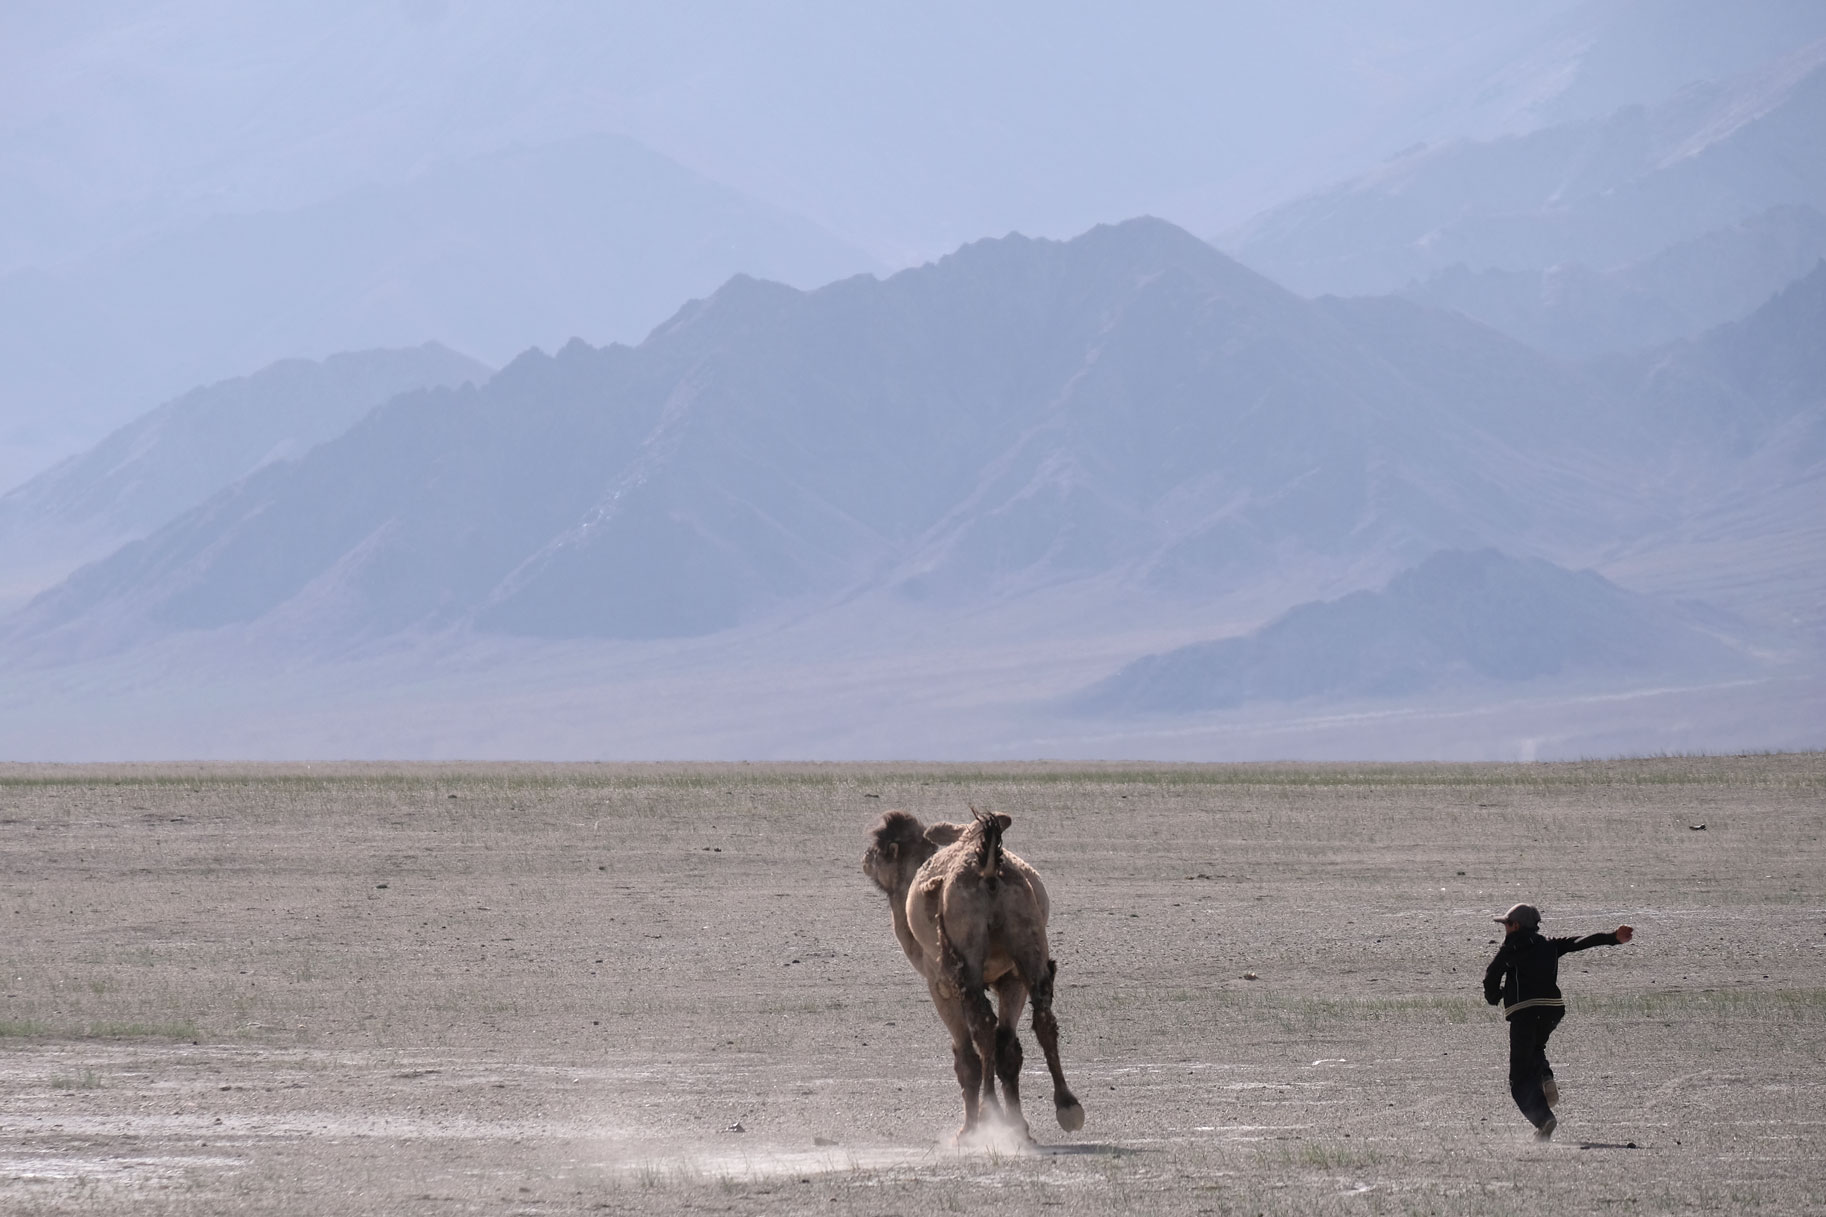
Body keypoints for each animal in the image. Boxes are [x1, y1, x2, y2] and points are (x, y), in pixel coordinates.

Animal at [858, 804, 1080, 1140]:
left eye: (879, 847)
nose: (865, 858)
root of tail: (988, 872)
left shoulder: (939, 984)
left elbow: (966, 1059)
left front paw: (970, 1128)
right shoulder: (1010, 978)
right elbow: (1008, 1049)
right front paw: (1018, 1125)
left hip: (965, 947)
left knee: (983, 1026)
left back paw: (988, 1111)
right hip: (1027, 936)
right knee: (1042, 1018)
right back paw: (1068, 1107)